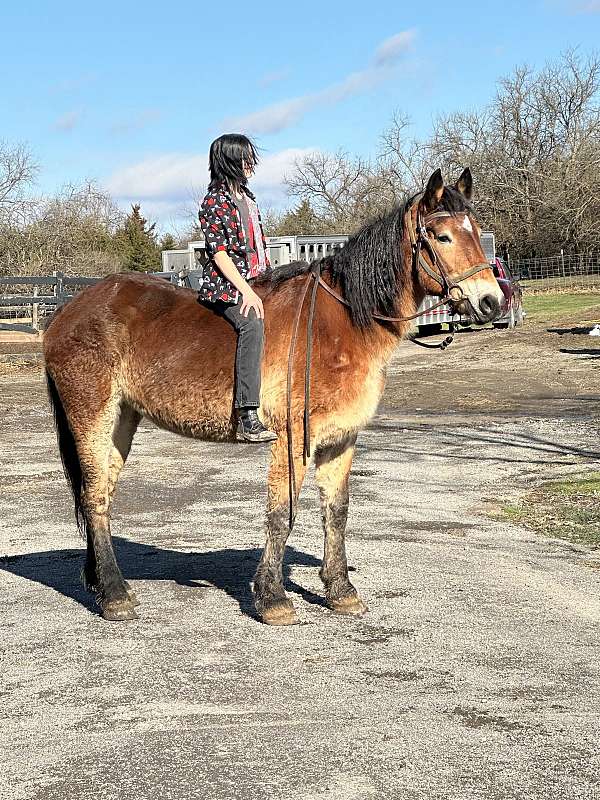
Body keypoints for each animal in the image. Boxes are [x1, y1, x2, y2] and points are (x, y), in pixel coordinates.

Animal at [42, 170, 504, 624]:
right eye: (442, 236)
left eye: (475, 229)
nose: (491, 301)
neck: (339, 324)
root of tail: (65, 312)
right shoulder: (292, 438)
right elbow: (281, 513)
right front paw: (273, 598)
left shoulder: (341, 438)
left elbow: (336, 512)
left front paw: (341, 592)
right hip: (93, 418)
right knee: (94, 497)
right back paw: (115, 596)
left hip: (122, 420)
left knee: (100, 495)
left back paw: (100, 581)